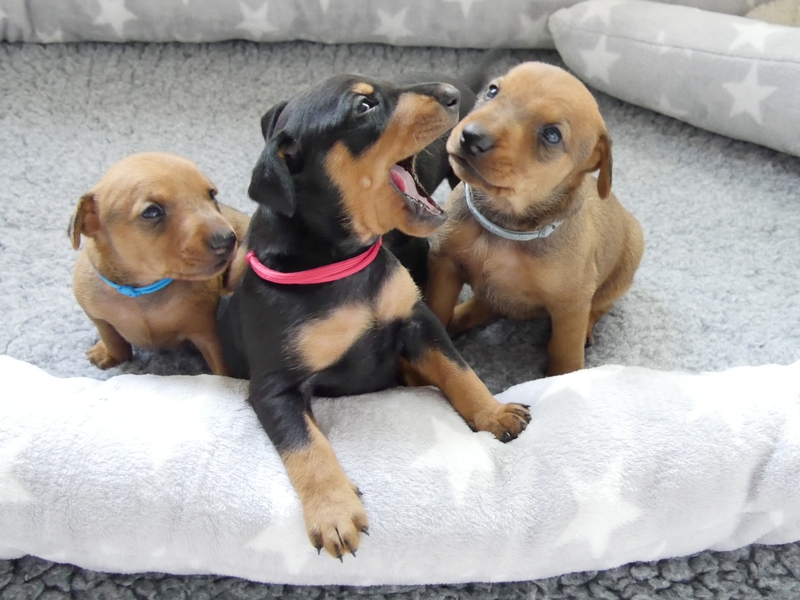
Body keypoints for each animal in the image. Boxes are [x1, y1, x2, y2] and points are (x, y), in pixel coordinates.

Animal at [69, 152, 250, 375]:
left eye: (211, 195)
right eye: (152, 212)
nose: (227, 239)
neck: (142, 289)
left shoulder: (206, 331)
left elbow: (221, 366)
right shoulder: (97, 316)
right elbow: (111, 337)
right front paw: (110, 354)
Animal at [217, 74, 531, 559]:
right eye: (363, 106)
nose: (453, 93)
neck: (344, 262)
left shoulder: (418, 323)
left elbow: (459, 371)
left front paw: (494, 413)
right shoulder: (273, 387)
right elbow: (307, 446)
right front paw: (334, 513)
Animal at [425, 62, 644, 377]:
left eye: (552, 135)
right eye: (493, 90)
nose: (471, 137)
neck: (506, 226)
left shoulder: (571, 304)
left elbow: (565, 354)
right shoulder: (446, 264)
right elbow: (437, 310)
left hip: (625, 266)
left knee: (599, 306)